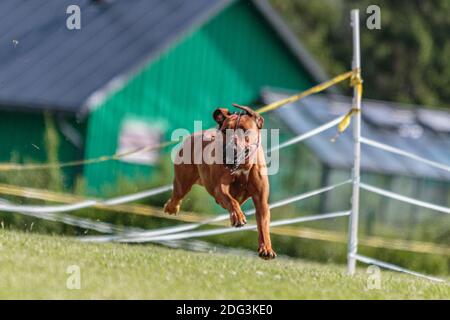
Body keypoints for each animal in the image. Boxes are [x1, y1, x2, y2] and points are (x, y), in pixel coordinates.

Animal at [163, 104, 276, 258]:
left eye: (244, 130)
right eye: (225, 130)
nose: (230, 150)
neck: (242, 167)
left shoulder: (261, 200)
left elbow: (263, 222)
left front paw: (266, 248)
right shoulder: (220, 189)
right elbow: (231, 200)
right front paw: (238, 216)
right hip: (183, 182)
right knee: (177, 195)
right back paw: (171, 207)